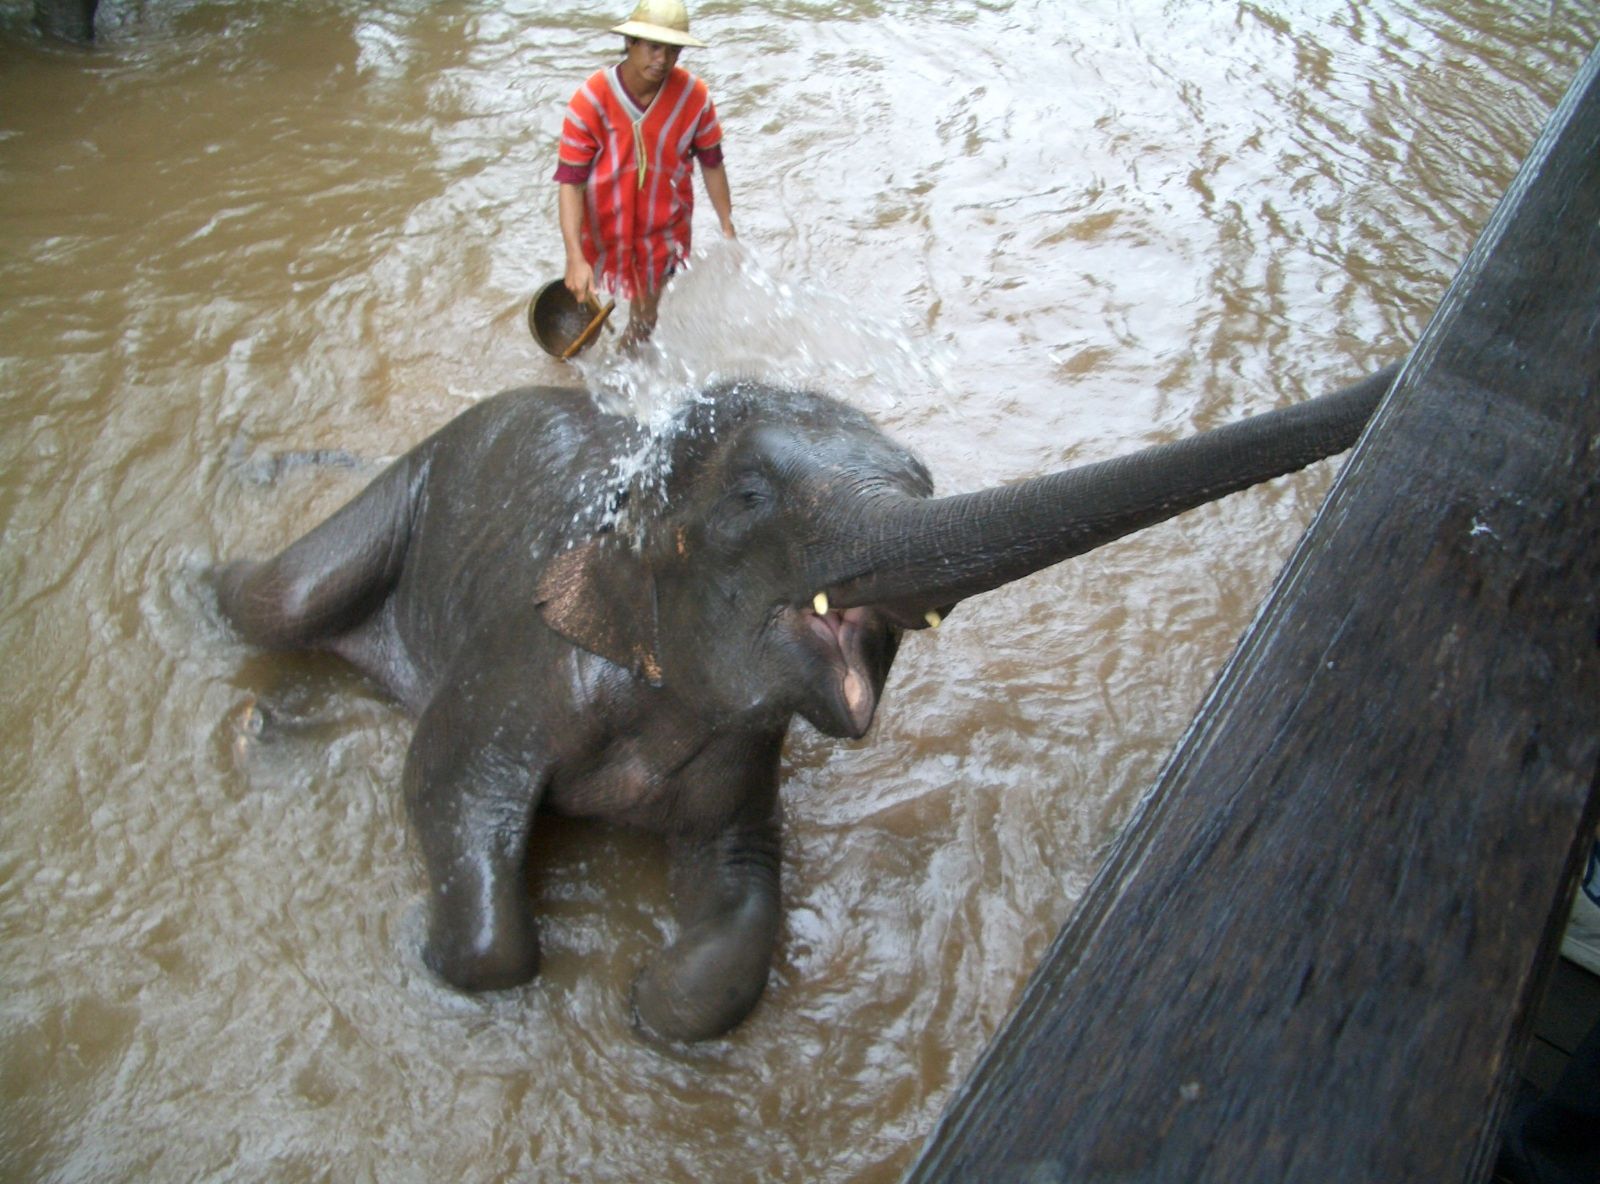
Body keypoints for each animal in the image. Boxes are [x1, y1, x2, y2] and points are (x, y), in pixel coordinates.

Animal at [216, 358, 1401, 1036]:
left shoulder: (741, 750)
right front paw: (458, 958)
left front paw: (651, 999)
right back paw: (210, 600)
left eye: (923, 485)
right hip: (407, 490)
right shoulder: (522, 665)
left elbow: (742, 873)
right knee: (277, 600)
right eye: (749, 495)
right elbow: (448, 787)